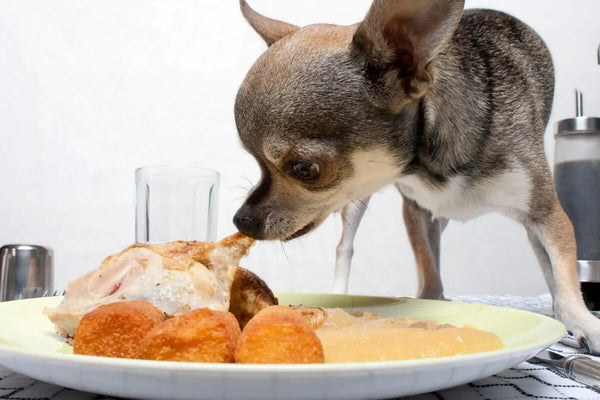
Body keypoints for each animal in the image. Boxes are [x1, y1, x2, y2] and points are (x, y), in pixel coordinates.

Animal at [231, 0, 600, 352]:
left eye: (306, 170)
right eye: (255, 161)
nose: (241, 220)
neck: (429, 163)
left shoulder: (546, 213)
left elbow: (562, 269)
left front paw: (581, 321)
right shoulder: (416, 210)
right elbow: (427, 264)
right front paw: (431, 300)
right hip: (357, 201)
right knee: (345, 247)